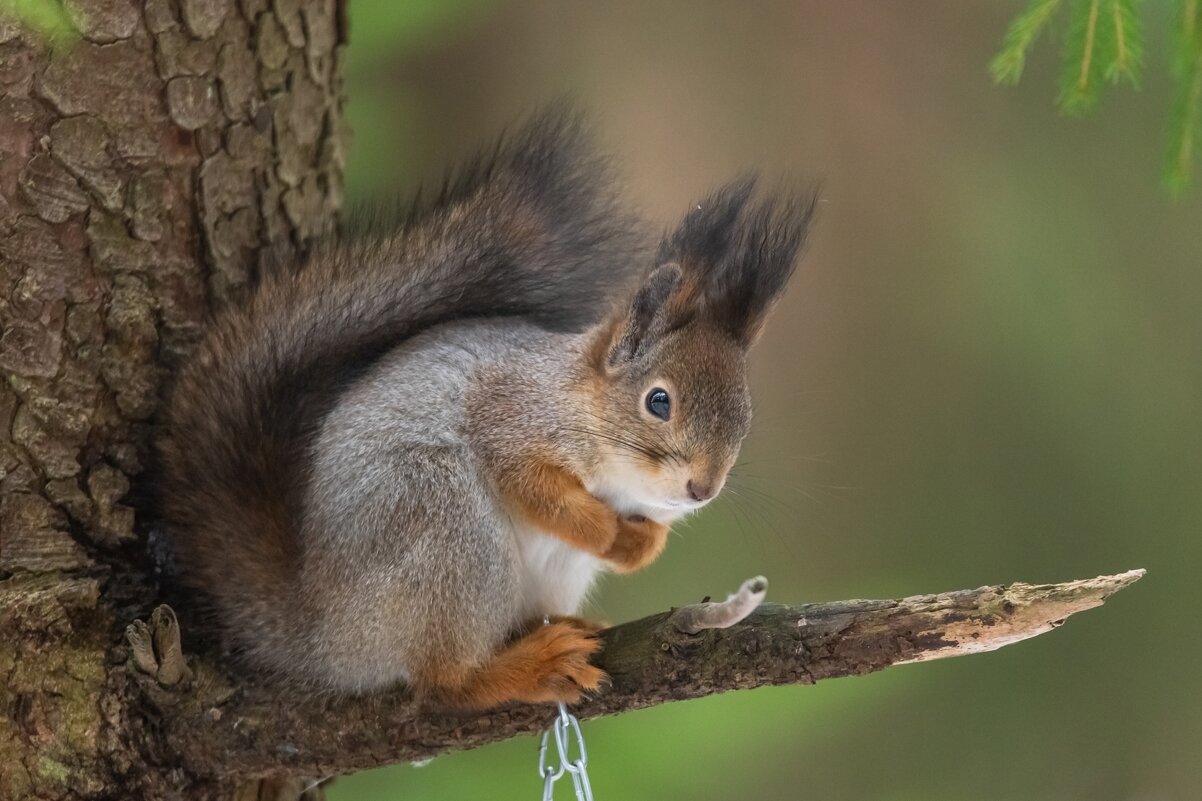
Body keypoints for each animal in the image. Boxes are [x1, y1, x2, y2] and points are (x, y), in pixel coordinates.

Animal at [157, 104, 817, 707]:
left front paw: (638, 546)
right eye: (658, 401)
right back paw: (525, 668)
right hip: (439, 517)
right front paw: (605, 531)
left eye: (745, 415)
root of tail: (323, 634)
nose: (702, 489)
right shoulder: (508, 418)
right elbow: (532, 487)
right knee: (445, 681)